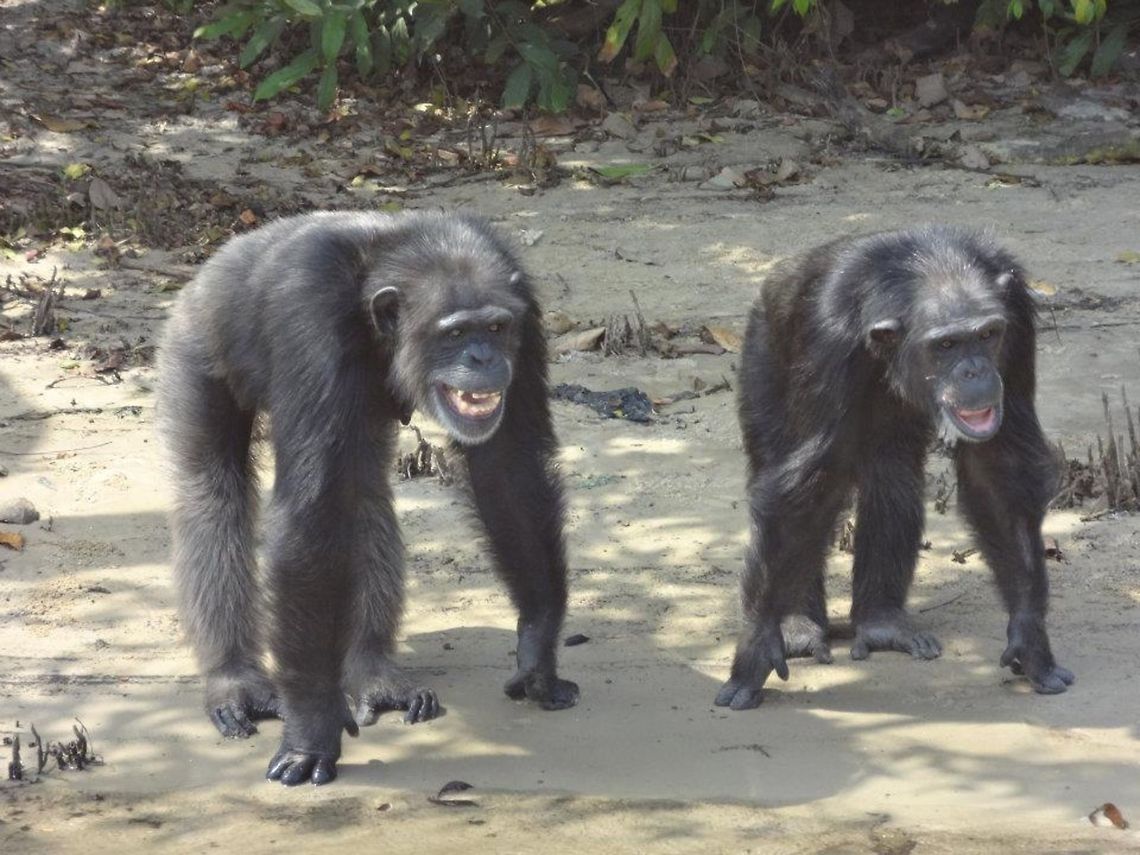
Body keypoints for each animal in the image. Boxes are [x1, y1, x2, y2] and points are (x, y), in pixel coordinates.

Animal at [157, 211, 578, 785]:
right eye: (455, 332)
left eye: (496, 327)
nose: (483, 355)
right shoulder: (308, 318)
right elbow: (312, 512)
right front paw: (311, 729)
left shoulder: (527, 312)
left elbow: (508, 464)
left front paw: (537, 649)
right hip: (194, 346)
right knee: (212, 490)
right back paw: (235, 679)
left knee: (366, 493)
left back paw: (373, 674)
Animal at [715, 225, 1073, 710]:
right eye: (946, 345)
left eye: (987, 335)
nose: (975, 371)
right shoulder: (827, 337)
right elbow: (811, 484)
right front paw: (755, 650)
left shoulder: (1017, 319)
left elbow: (998, 468)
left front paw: (1030, 638)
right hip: (761, 348)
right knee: (781, 465)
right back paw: (796, 627)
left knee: (892, 474)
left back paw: (882, 624)